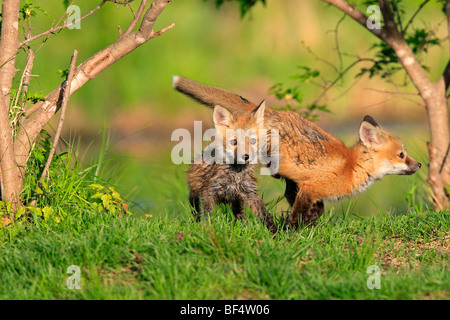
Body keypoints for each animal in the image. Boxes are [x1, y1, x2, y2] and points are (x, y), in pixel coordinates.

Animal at [173, 75, 422, 228]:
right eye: (401, 155)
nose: (419, 165)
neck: (350, 167)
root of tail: (271, 112)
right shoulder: (310, 188)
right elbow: (298, 213)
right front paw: (291, 231)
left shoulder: (304, 186)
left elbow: (314, 208)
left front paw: (305, 224)